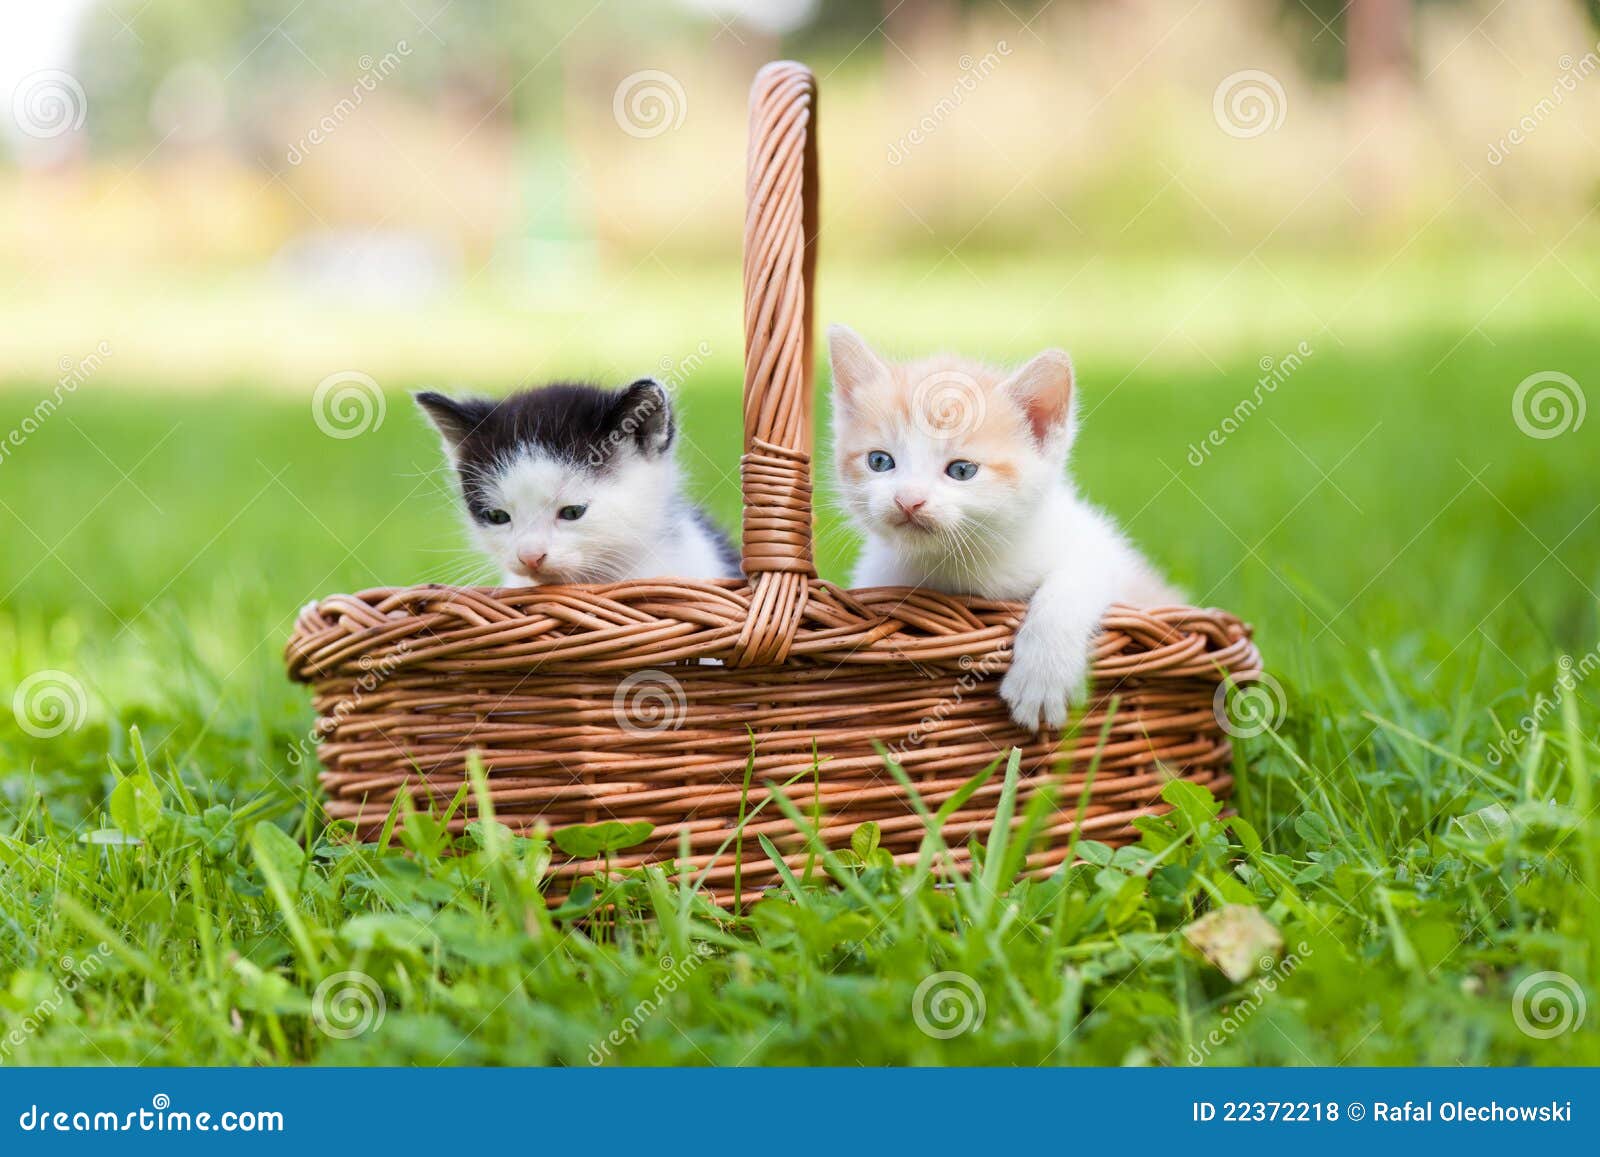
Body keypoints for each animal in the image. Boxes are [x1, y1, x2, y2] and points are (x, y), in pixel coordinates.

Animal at [832, 321, 1184, 729]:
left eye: (962, 470)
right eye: (879, 461)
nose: (908, 499)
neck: (953, 566)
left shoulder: (1101, 549)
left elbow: (1072, 584)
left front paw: (1043, 677)